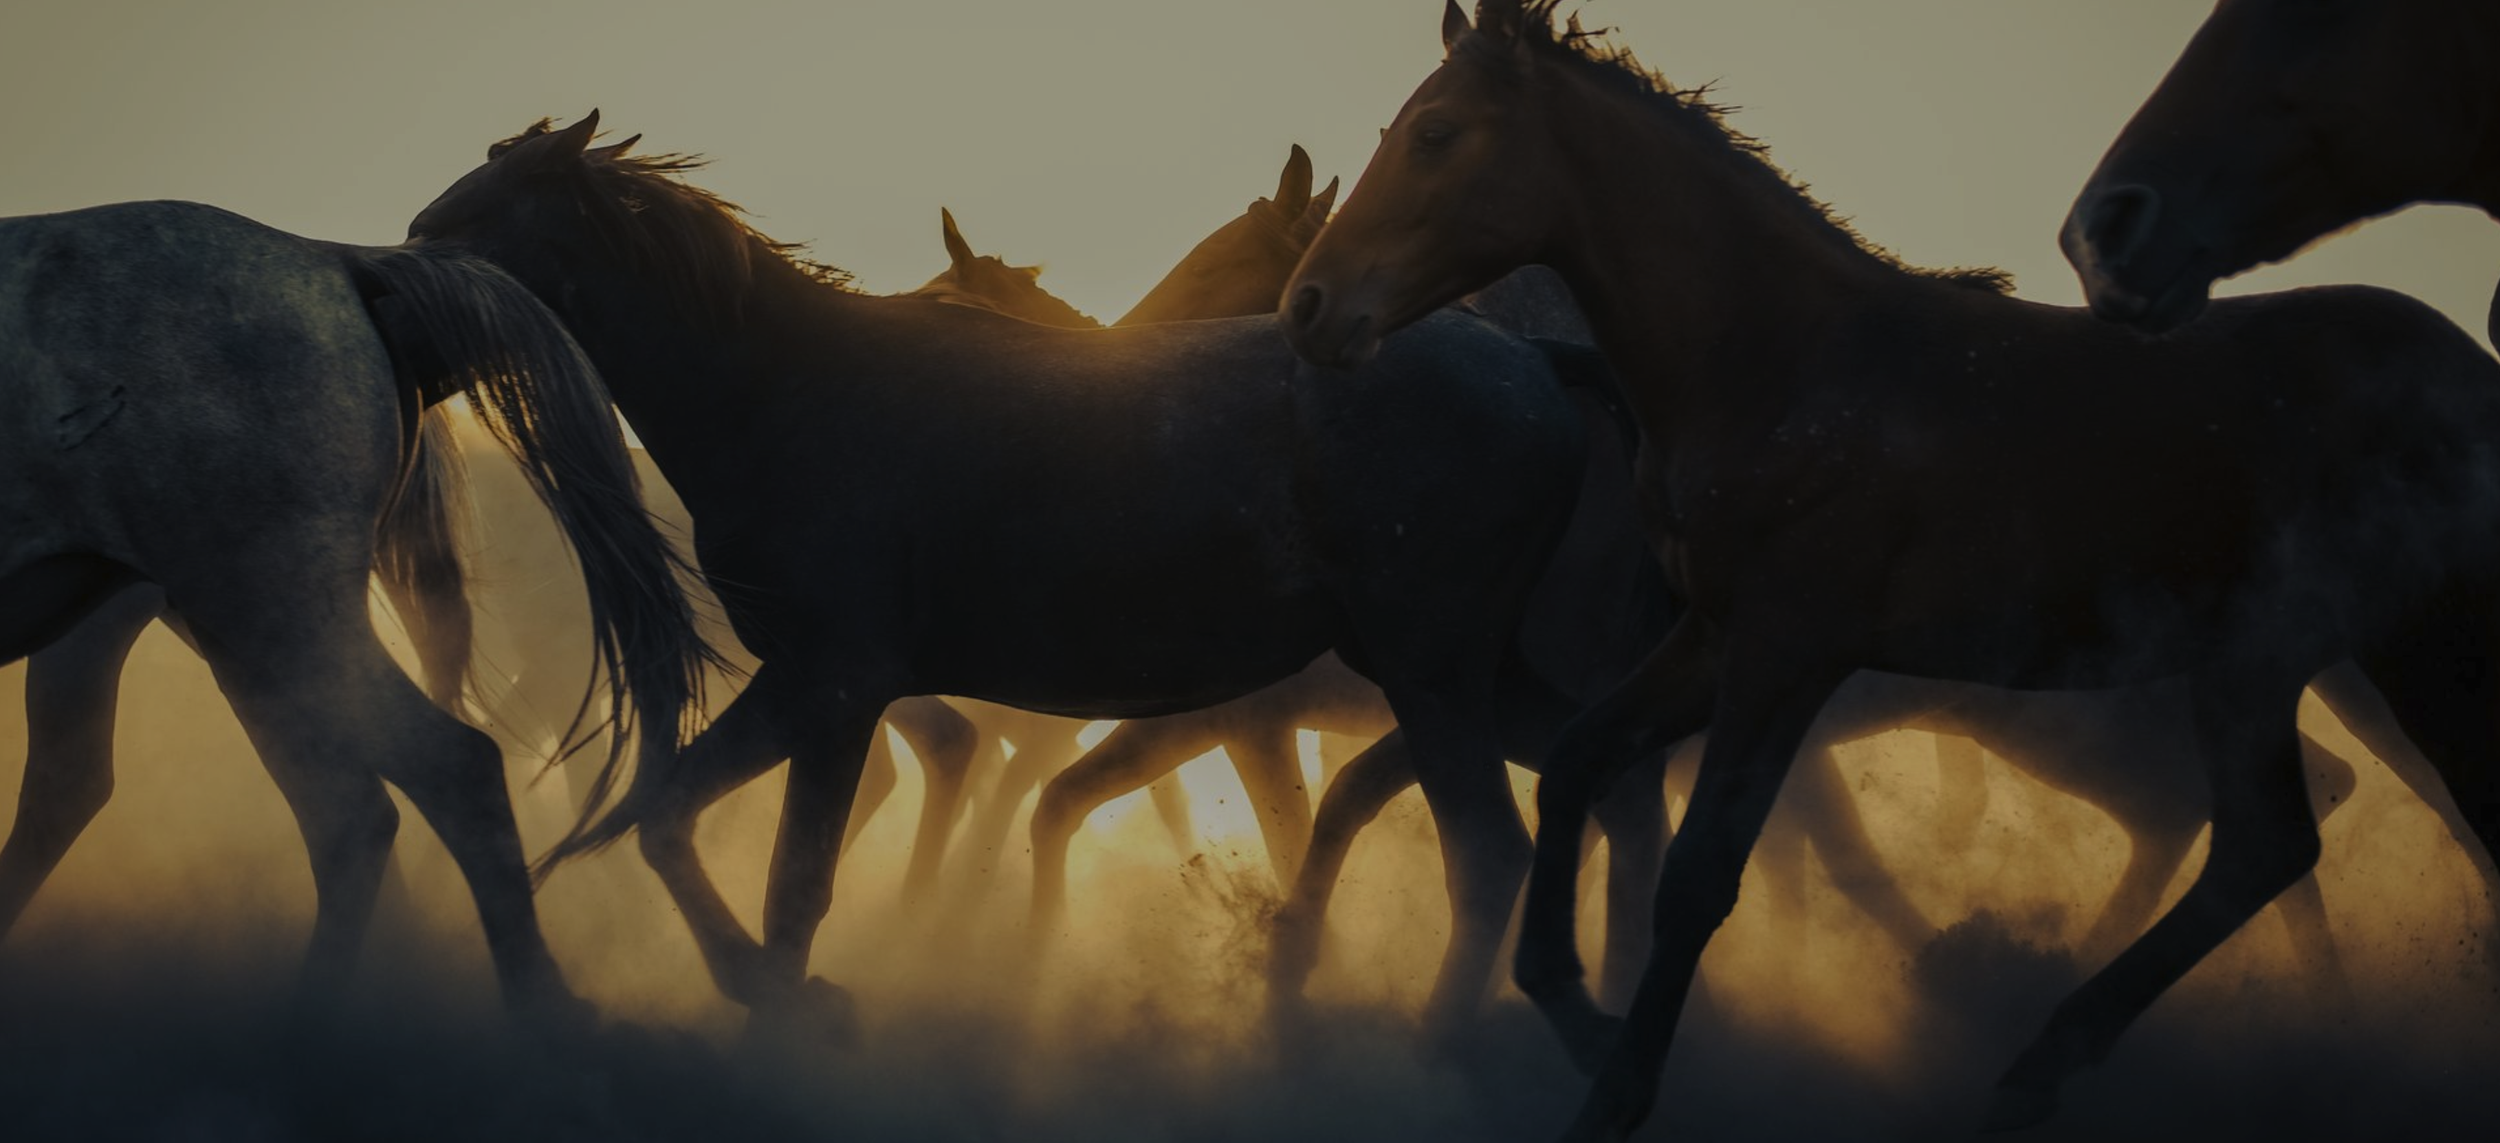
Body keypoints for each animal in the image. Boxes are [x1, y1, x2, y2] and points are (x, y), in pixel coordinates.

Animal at [407, 113, 1601, 1044]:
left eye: (450, 231)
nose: (391, 319)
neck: (782, 387)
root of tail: (1538, 367)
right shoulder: (801, 684)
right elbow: (667, 821)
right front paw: (780, 995)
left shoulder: (836, 687)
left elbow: (795, 885)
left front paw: (792, 1018)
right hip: (1486, 684)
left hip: (1432, 675)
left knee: (1488, 854)